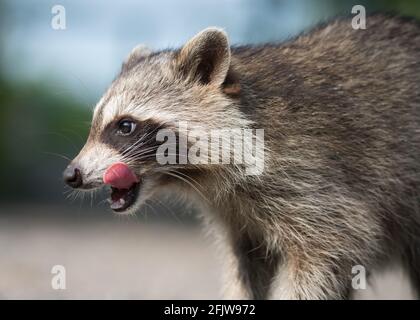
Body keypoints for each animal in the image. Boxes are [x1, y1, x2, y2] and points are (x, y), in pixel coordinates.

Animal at [63, 14, 420, 300]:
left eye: (125, 126)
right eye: (95, 125)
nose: (71, 174)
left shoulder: (312, 173)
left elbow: (331, 247)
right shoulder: (237, 217)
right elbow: (249, 268)